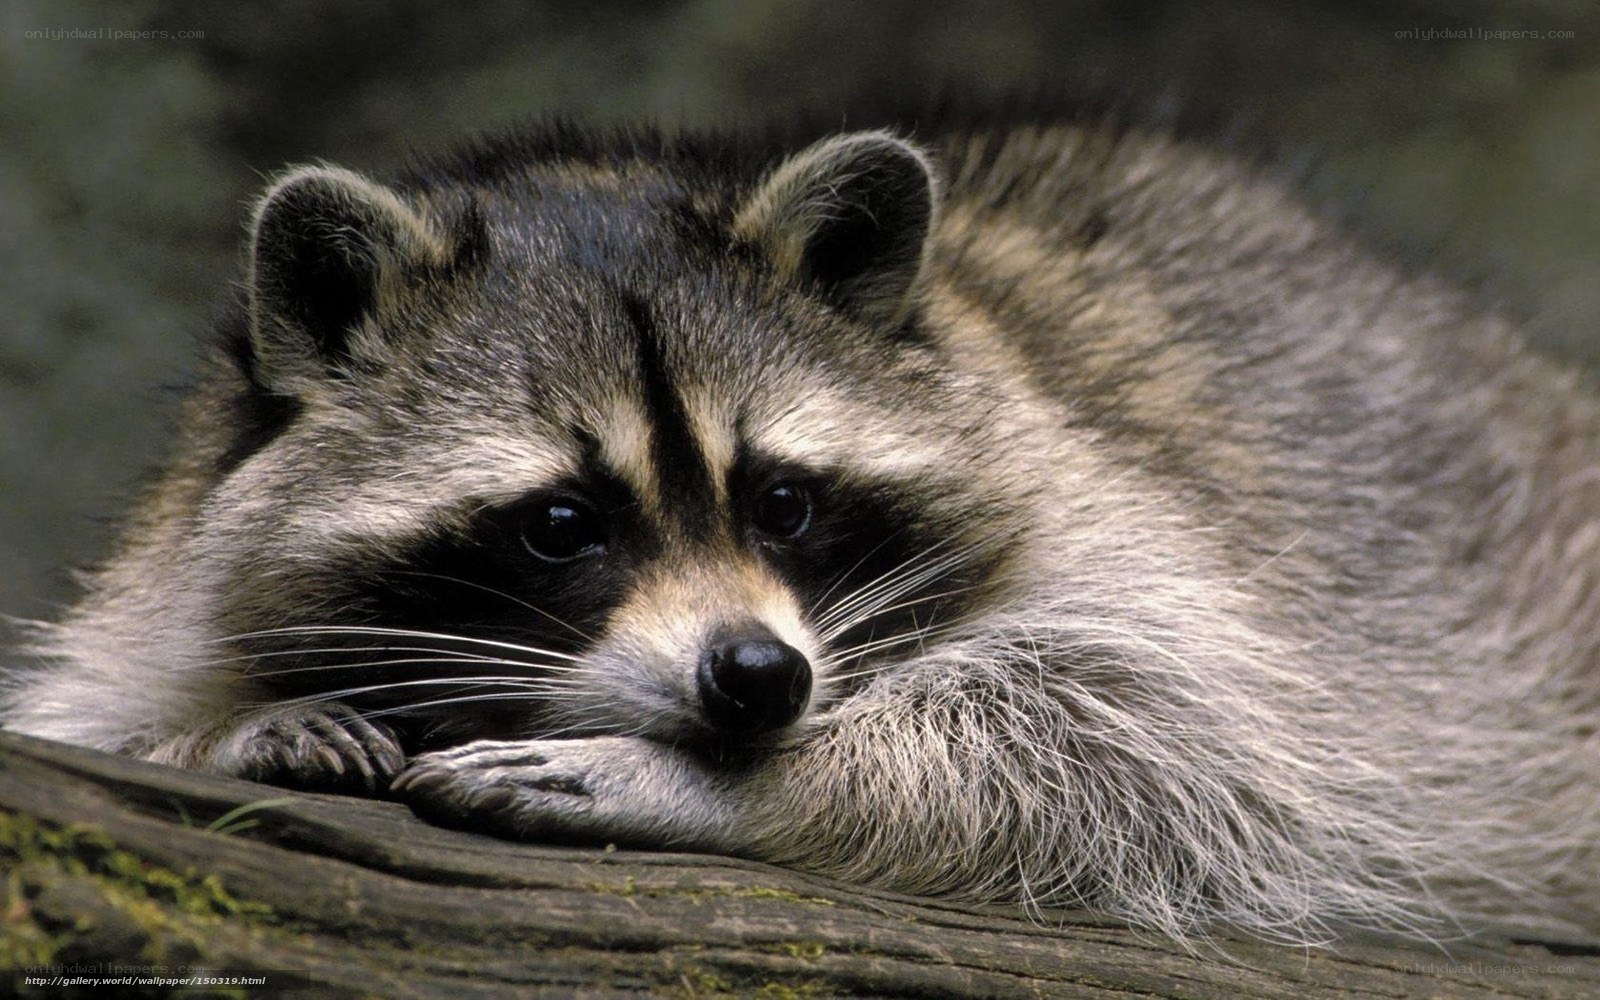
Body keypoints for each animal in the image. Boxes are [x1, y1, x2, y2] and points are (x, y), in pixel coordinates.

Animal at [4, 114, 1598, 947]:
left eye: (783, 500)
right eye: (562, 524)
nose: (758, 680)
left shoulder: (1134, 522)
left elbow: (1154, 742)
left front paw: (712, 783)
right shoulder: (178, 545)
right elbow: (90, 706)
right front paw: (220, 730)